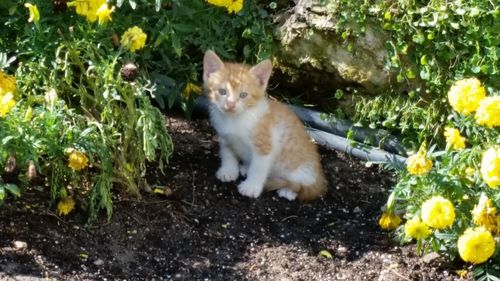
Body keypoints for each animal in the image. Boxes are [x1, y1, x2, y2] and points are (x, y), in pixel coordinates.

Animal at [203, 49, 328, 199]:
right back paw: (246, 167)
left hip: (299, 166)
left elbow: (259, 168)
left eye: (243, 95)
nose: (230, 105)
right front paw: (228, 171)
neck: (235, 119)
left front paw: (251, 187)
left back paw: (288, 191)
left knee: (301, 183)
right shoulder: (225, 136)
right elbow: (227, 154)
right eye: (222, 92)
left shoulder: (265, 145)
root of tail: (319, 178)